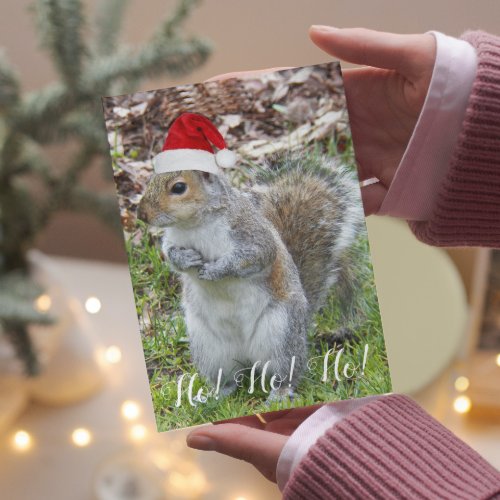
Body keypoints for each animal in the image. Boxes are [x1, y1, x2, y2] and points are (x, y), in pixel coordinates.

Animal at [137, 154, 364, 400]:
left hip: (280, 333)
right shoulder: (173, 239)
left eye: (178, 187)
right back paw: (216, 395)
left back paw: (280, 393)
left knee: (287, 370)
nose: (141, 214)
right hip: (209, 346)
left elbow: (257, 255)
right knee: (226, 377)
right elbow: (170, 254)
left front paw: (217, 270)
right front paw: (185, 258)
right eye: (151, 180)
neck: (194, 224)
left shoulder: (250, 232)